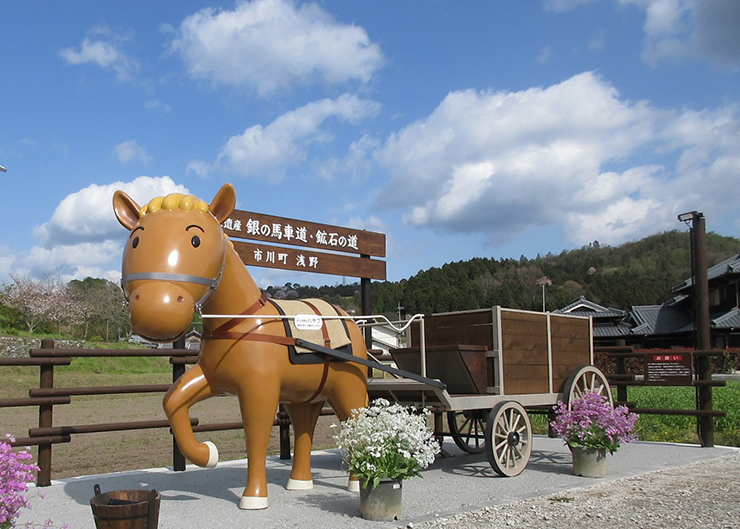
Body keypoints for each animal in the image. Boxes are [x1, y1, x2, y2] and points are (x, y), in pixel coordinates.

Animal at [112, 184, 368, 510]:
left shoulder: (259, 389)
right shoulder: (212, 378)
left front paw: (254, 497)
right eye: (135, 240)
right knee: (304, 429)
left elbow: (256, 435)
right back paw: (299, 482)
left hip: (348, 389)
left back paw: (356, 483)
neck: (241, 322)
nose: (155, 310)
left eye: (196, 239)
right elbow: (173, 401)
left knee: (357, 428)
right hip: (304, 396)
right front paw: (207, 453)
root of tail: (350, 320)